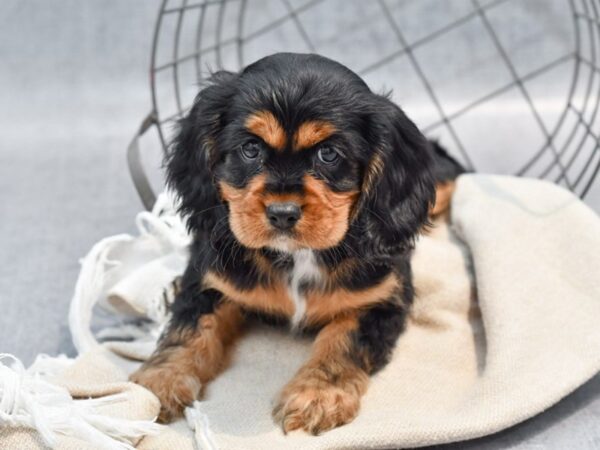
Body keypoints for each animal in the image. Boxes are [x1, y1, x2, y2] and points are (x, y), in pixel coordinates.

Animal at [130, 51, 464, 434]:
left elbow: (342, 340)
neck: (297, 256)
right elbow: (191, 328)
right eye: (250, 148)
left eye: (329, 154)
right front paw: (161, 381)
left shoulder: (381, 301)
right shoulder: (209, 281)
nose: (282, 213)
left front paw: (317, 396)